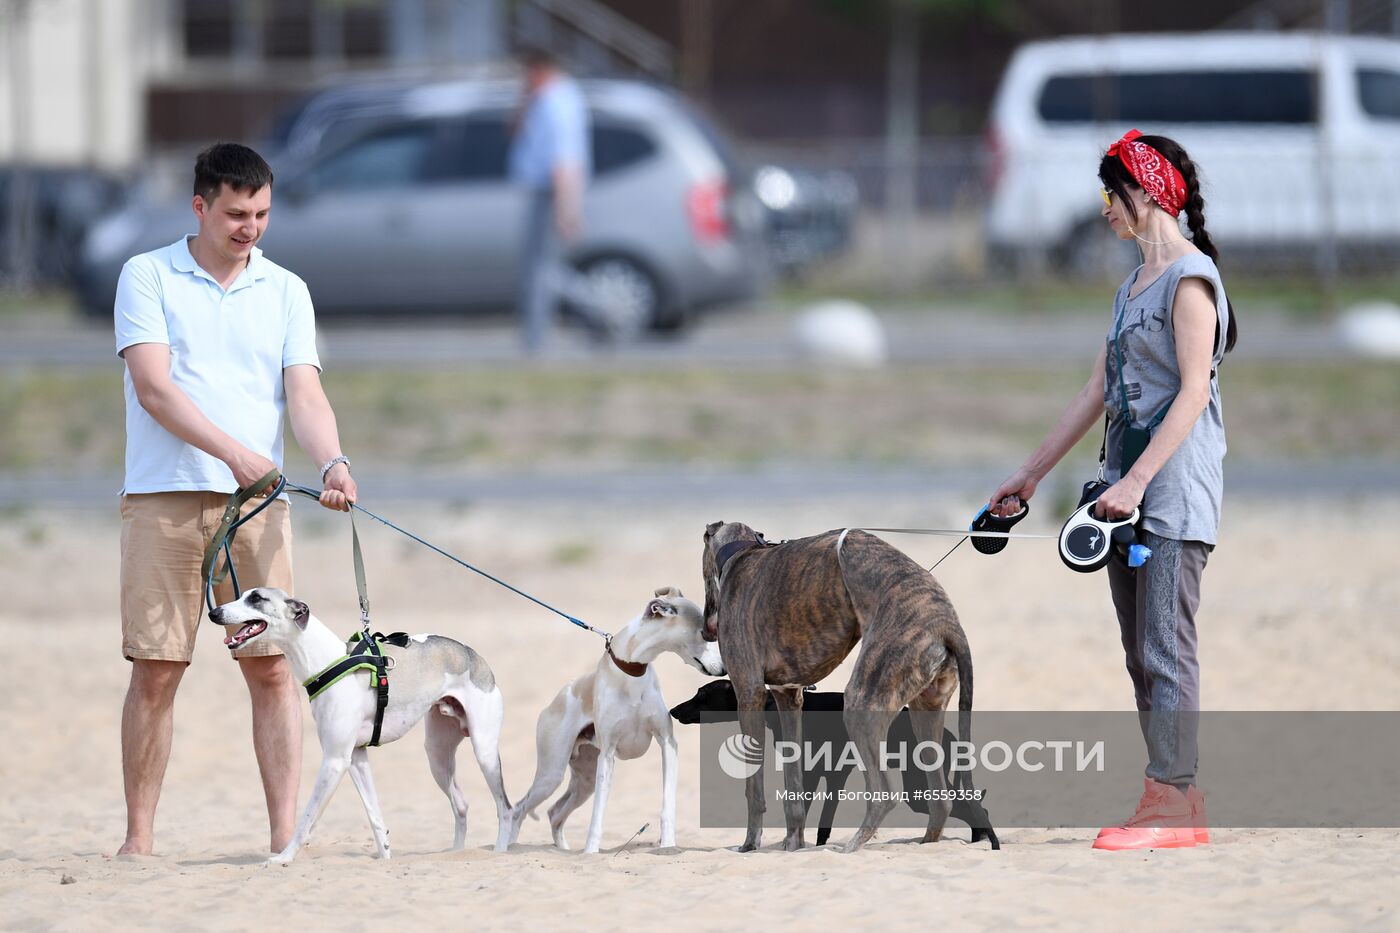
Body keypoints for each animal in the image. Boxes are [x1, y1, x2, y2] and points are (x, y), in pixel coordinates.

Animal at [669, 680, 991, 846]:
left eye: (702, 694)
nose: (673, 710)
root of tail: (950, 736)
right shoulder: (828, 775)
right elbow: (820, 822)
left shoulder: (818, 775)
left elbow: (809, 815)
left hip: (918, 789)